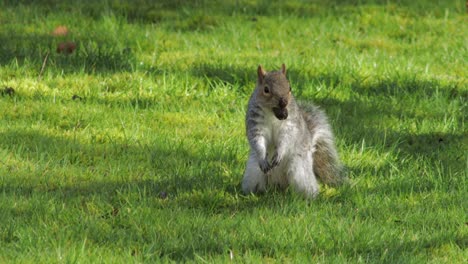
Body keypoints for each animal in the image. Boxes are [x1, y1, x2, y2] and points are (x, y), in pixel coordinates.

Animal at [243, 63, 346, 196]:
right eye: (266, 90)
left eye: (290, 88)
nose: (283, 102)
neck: (273, 113)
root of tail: (279, 184)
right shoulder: (255, 123)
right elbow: (257, 140)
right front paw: (262, 157)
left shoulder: (290, 124)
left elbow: (286, 138)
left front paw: (279, 153)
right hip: (254, 171)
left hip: (299, 169)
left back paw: (309, 196)